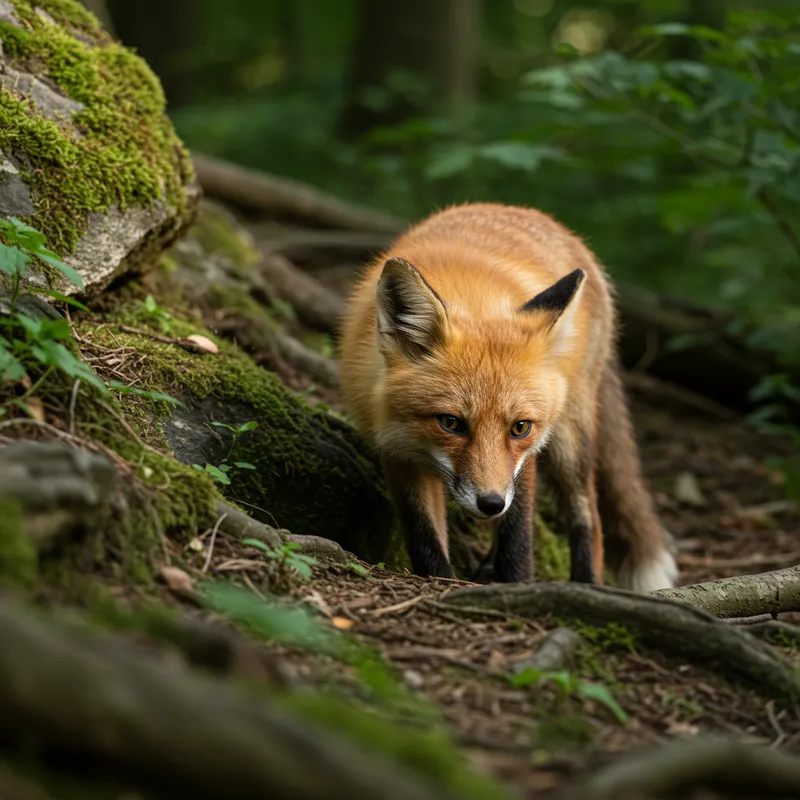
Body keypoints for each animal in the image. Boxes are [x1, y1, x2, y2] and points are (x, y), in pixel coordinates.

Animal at [338, 202, 678, 592]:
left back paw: (586, 582)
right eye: (450, 422)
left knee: (587, 512)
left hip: (568, 436)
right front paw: (442, 579)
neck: (471, 295)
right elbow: (424, 535)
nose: (490, 504)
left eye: (519, 427)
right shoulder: (398, 449)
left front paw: (518, 584)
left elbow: (518, 534)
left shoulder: (525, 456)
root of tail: (522, 210)